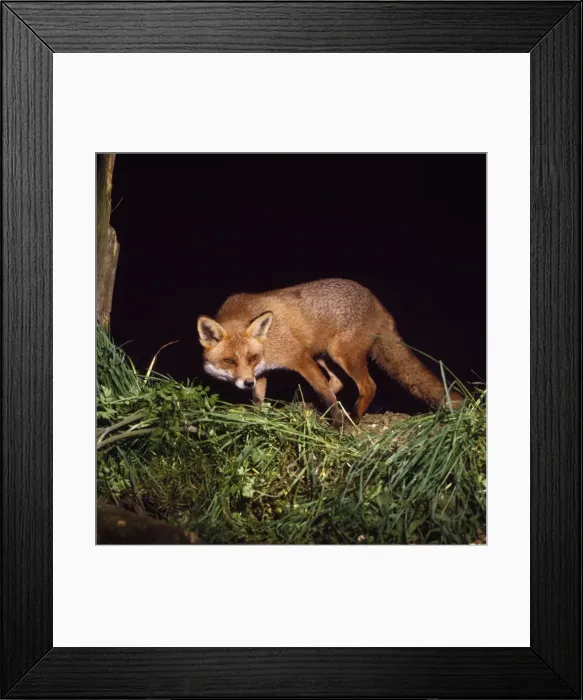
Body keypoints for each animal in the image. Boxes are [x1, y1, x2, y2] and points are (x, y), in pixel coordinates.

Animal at [197, 278, 464, 426]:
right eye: (229, 360)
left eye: (250, 357)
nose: (246, 382)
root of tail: (377, 303)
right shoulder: (262, 372)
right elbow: (259, 399)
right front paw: (258, 417)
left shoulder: (299, 357)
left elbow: (324, 391)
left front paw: (336, 421)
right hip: (325, 356)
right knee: (337, 382)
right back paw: (311, 406)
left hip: (341, 356)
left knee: (367, 386)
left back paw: (352, 418)